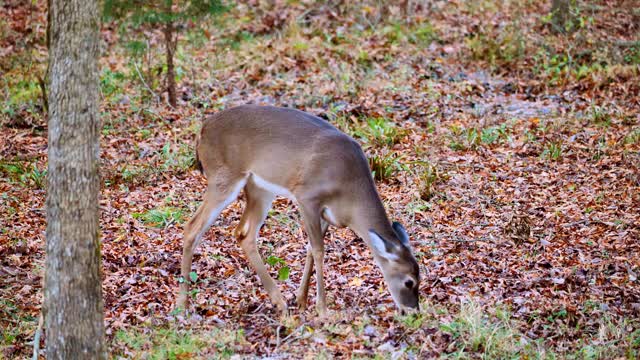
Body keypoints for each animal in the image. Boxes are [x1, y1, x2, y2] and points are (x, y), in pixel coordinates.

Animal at [178, 104, 422, 316]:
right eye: (409, 282)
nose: (413, 312)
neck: (350, 196)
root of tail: (202, 131)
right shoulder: (307, 197)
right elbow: (319, 249)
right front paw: (322, 309)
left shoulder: (325, 213)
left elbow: (309, 248)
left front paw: (301, 300)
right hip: (224, 177)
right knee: (192, 227)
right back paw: (182, 304)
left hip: (259, 188)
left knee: (243, 233)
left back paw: (279, 302)